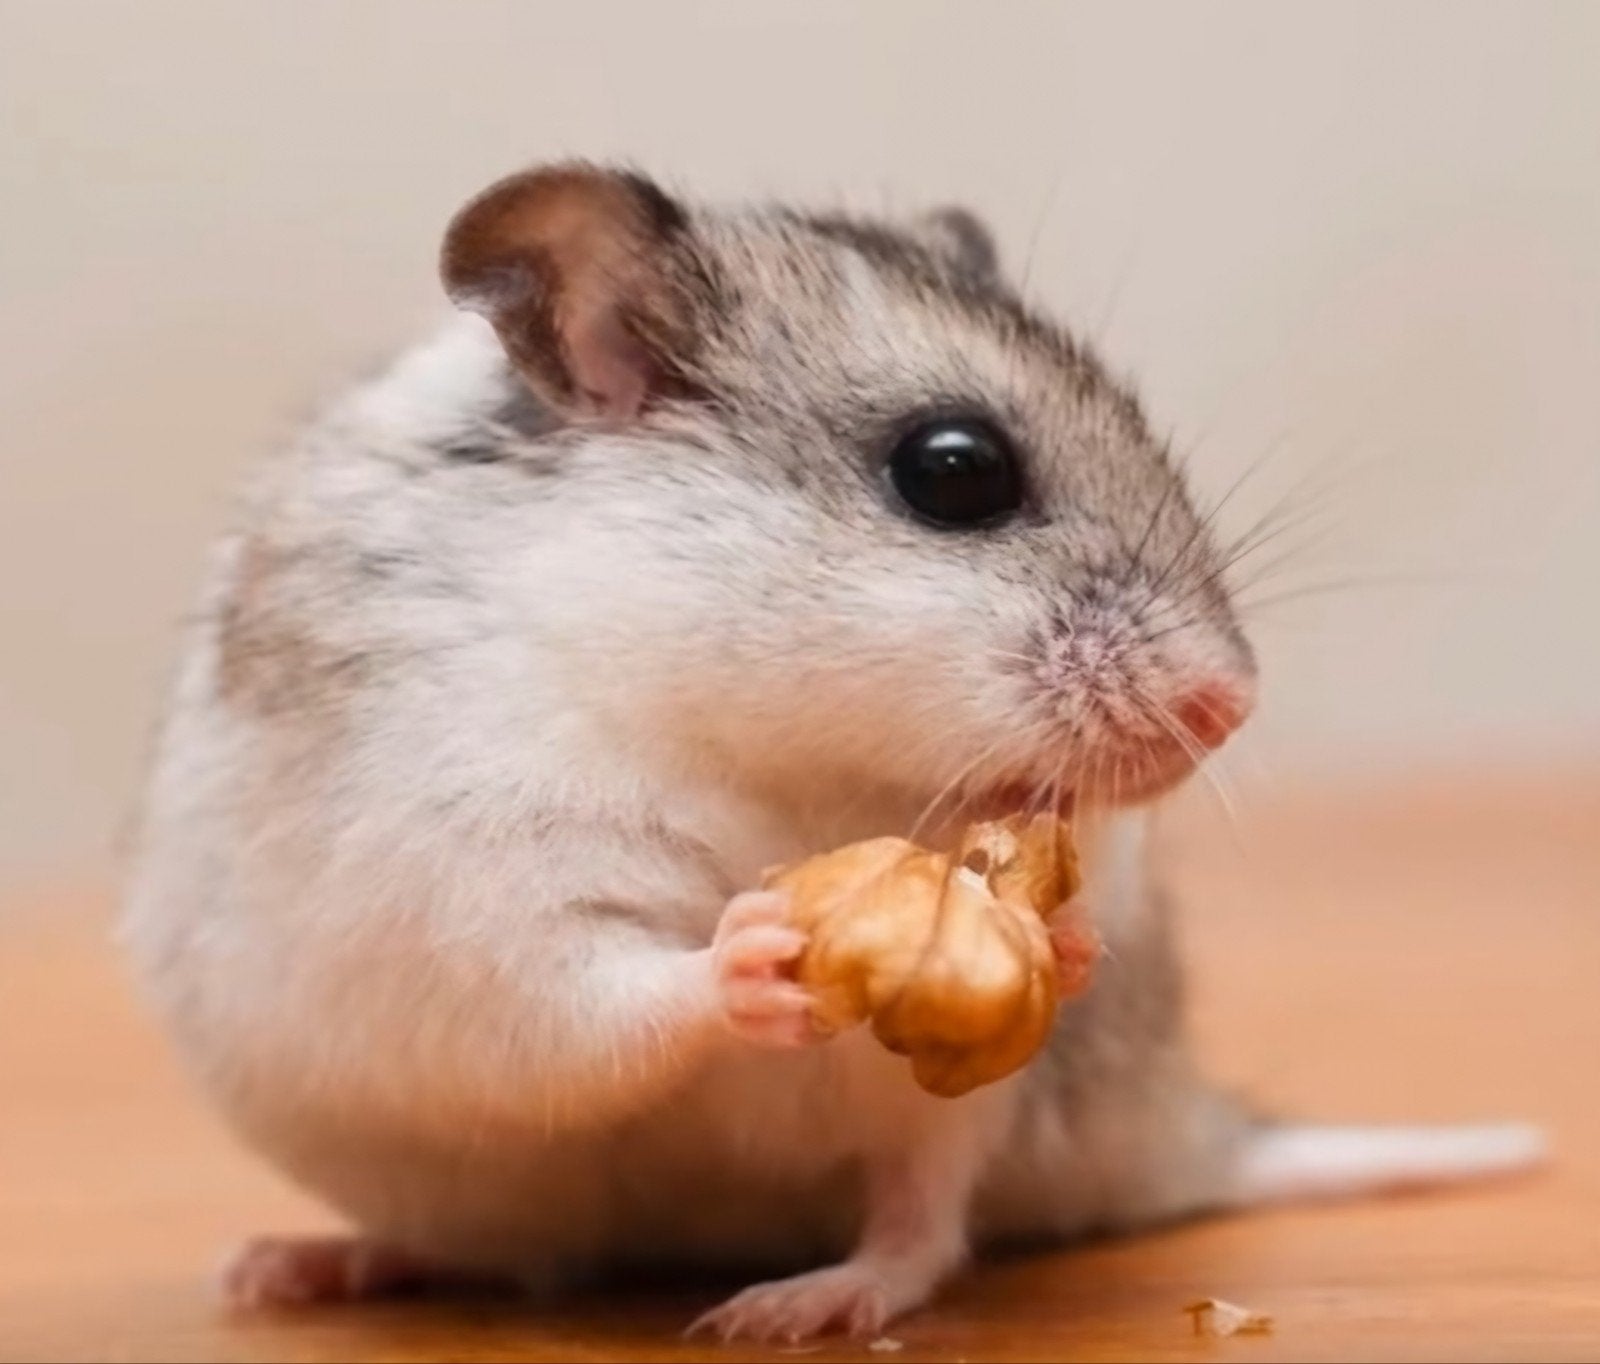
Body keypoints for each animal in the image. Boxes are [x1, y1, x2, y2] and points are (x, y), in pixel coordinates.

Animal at [120, 163, 1543, 1342]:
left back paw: (797, 1301)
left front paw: (1062, 939)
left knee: (919, 1228)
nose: (1225, 706)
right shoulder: (485, 908)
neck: (742, 730)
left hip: (954, 1111)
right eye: (953, 469)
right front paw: (756, 946)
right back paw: (296, 1264)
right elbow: (605, 998)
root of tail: (1185, 1135)